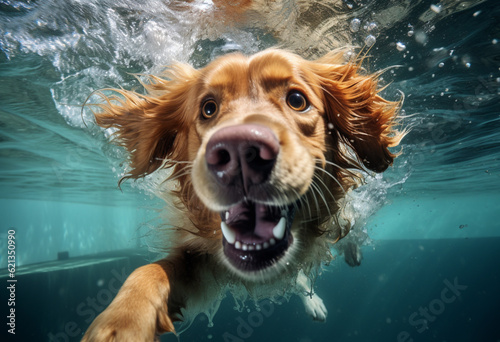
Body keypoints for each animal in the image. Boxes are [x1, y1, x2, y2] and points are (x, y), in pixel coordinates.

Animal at [82, 48, 402, 342]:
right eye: (208, 108)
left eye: (297, 100)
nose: (241, 152)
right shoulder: (198, 262)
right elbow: (149, 272)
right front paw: (122, 321)